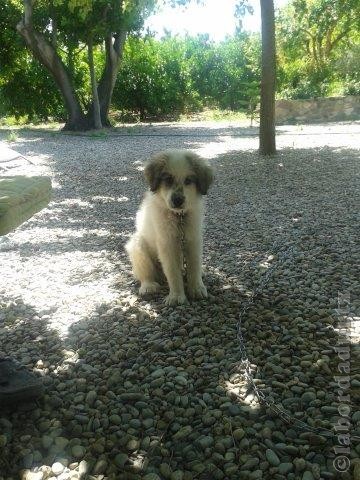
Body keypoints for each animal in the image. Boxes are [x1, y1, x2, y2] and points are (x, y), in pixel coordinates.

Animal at [125, 150, 212, 306]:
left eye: (188, 180)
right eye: (168, 179)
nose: (178, 200)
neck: (179, 217)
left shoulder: (193, 239)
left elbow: (194, 265)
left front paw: (196, 288)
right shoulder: (167, 243)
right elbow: (173, 272)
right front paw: (176, 296)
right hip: (137, 245)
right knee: (145, 273)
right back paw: (148, 286)